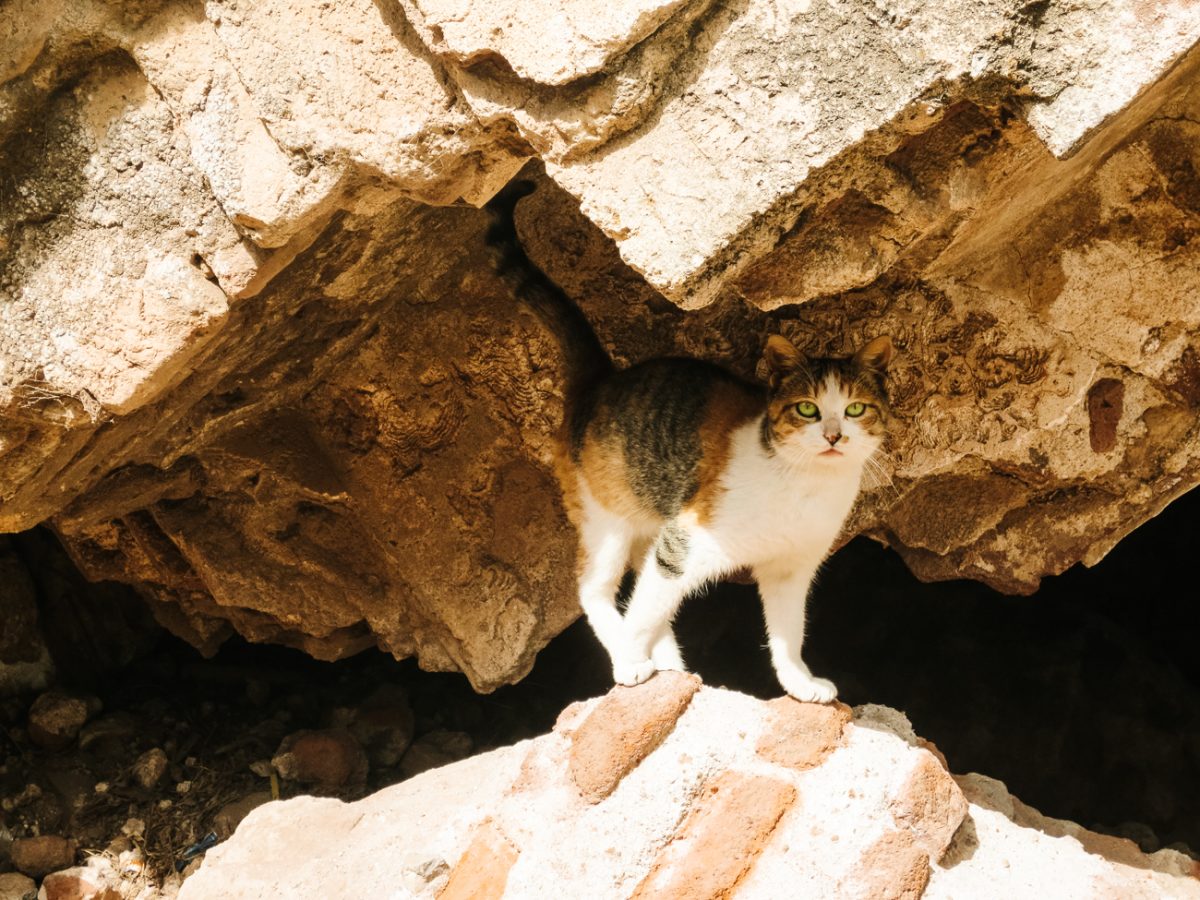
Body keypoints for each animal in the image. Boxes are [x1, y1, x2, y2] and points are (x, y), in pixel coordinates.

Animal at [484, 181, 892, 705]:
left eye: (856, 409)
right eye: (807, 409)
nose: (834, 435)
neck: (804, 485)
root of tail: (601, 380)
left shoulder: (789, 569)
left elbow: (788, 632)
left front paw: (799, 683)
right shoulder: (681, 543)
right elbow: (643, 613)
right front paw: (630, 662)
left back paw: (673, 668)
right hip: (606, 519)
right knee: (596, 590)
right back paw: (634, 658)